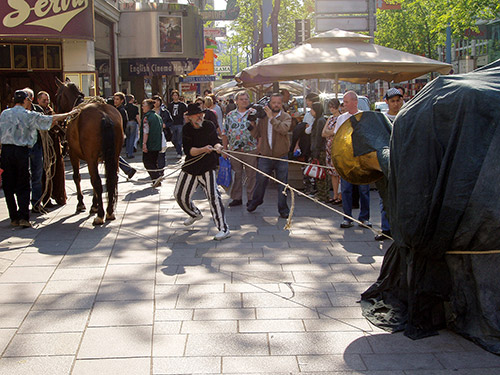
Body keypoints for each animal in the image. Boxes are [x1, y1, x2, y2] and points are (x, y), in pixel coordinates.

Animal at [55, 79, 124, 225]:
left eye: (57, 95)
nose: (59, 116)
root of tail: (104, 115)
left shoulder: (75, 155)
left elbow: (77, 177)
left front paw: (82, 204)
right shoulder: (96, 159)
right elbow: (93, 183)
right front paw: (94, 205)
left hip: (90, 157)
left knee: (97, 180)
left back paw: (100, 215)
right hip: (114, 156)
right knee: (112, 179)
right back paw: (109, 212)